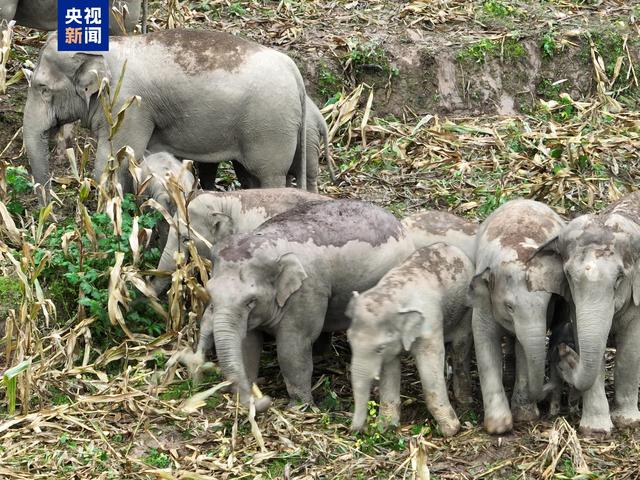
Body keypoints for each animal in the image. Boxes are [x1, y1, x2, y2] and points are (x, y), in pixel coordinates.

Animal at [22, 28, 308, 201]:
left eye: (43, 88)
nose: (49, 213)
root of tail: (294, 71)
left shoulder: (130, 105)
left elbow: (113, 158)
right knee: (249, 174)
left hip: (270, 126)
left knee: (269, 173)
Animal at [196, 198, 416, 408]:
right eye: (209, 292)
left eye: (251, 300)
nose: (264, 400)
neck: (271, 245)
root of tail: (399, 224)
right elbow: (247, 343)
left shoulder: (307, 291)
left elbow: (293, 346)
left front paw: (298, 406)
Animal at [344, 244, 476, 436]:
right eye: (349, 340)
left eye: (379, 348)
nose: (356, 430)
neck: (392, 293)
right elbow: (390, 370)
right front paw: (386, 427)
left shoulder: (429, 324)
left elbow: (430, 366)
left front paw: (450, 430)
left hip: (467, 311)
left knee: (460, 347)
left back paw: (464, 401)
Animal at [528, 190, 640, 436]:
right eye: (568, 275)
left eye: (619, 278)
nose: (563, 350)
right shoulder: (574, 303)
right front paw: (595, 431)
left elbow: (630, 350)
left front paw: (628, 422)